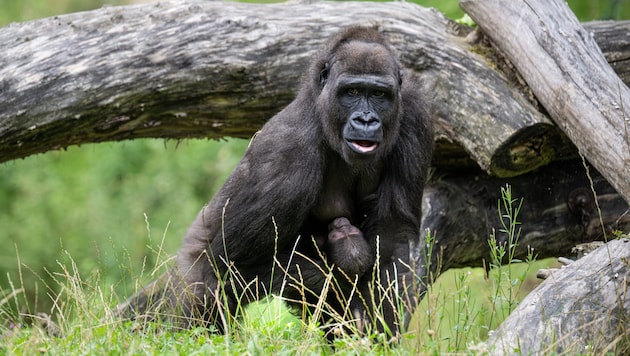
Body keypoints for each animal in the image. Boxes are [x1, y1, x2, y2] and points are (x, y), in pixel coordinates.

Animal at [118, 25, 434, 336]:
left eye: (379, 94)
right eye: (352, 91)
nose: (366, 120)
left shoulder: (416, 112)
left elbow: (392, 234)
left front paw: (378, 328)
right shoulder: (288, 157)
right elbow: (228, 261)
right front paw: (342, 287)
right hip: (189, 264)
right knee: (203, 285)